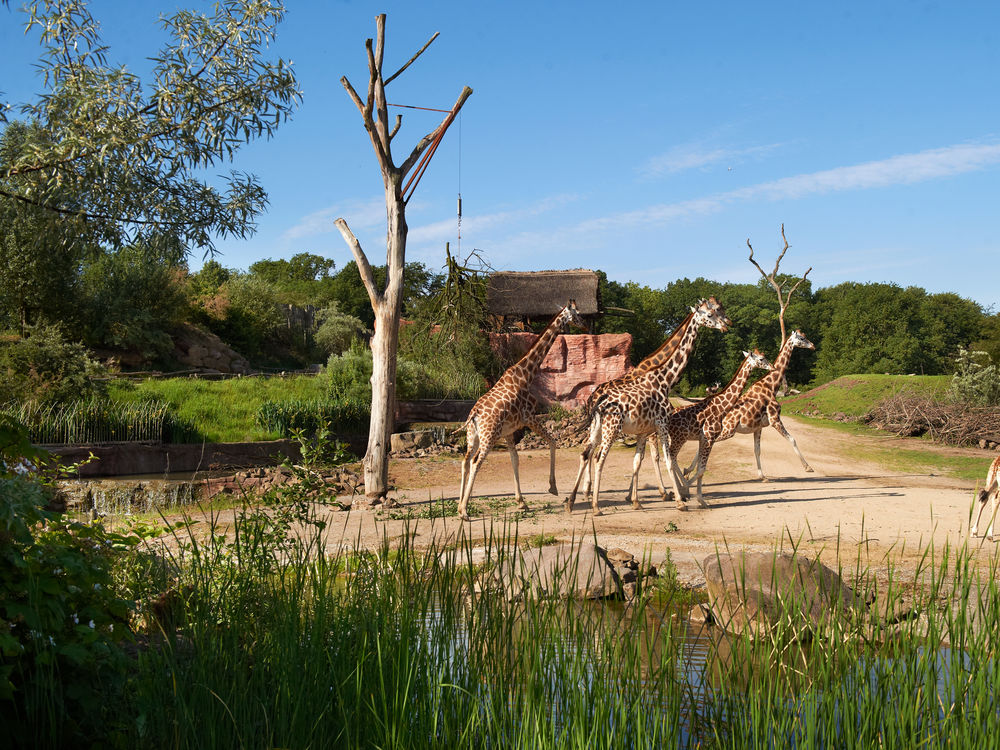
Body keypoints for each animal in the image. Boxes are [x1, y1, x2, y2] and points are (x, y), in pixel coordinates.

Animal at [458, 300, 588, 524]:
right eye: (578, 314)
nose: (585, 326)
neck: (525, 375)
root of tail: (473, 415)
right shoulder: (529, 418)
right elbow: (553, 442)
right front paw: (552, 487)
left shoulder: (510, 431)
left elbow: (515, 459)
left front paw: (521, 502)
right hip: (489, 437)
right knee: (475, 463)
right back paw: (465, 512)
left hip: (473, 436)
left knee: (465, 461)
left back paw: (459, 506)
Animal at [564, 300, 736, 516]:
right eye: (711, 313)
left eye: (719, 310)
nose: (727, 324)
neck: (664, 379)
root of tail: (595, 398)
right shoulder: (660, 426)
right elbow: (664, 459)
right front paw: (678, 498)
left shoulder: (644, 430)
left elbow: (639, 461)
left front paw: (637, 500)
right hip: (610, 429)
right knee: (597, 458)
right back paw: (594, 504)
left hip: (597, 428)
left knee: (586, 454)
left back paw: (572, 501)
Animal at [668, 350, 776, 508]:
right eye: (762, 358)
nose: (773, 367)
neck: (721, 407)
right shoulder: (709, 438)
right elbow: (701, 469)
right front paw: (699, 499)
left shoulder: (704, 439)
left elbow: (700, 468)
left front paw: (695, 496)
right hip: (679, 438)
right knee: (671, 458)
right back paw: (680, 492)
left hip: (672, 438)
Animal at [708, 328, 816, 482]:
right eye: (801, 338)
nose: (813, 345)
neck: (772, 386)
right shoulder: (775, 419)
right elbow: (792, 439)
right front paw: (808, 467)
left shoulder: (758, 427)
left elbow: (757, 450)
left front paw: (762, 476)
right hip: (728, 430)